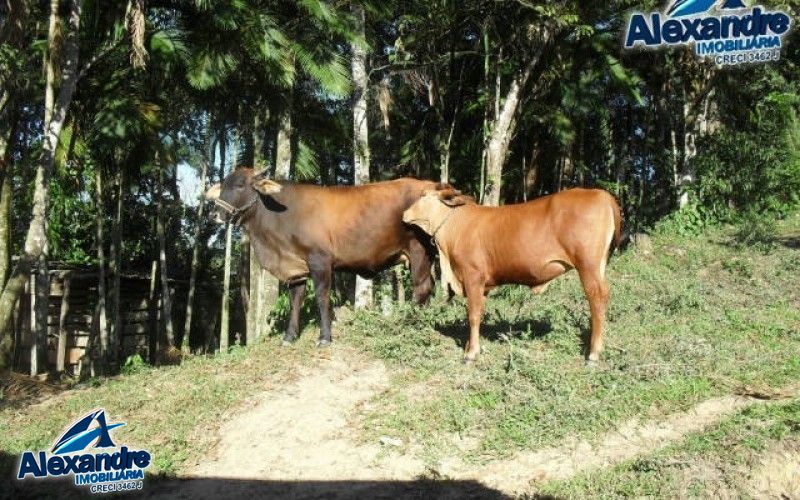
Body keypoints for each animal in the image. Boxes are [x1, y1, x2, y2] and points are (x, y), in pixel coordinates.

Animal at [203, 168, 434, 348]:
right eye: (223, 185)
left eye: (240, 185)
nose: (213, 215)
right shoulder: (296, 269)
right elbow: (296, 300)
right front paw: (289, 336)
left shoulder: (320, 261)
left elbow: (322, 298)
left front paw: (324, 337)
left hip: (418, 249)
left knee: (421, 287)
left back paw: (413, 322)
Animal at [404, 187, 620, 364]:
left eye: (423, 195)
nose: (404, 213)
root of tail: (602, 194)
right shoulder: (483, 284)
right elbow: (479, 313)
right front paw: (472, 347)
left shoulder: (472, 275)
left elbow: (472, 315)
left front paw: (470, 354)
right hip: (599, 265)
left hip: (588, 265)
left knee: (597, 298)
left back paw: (593, 354)